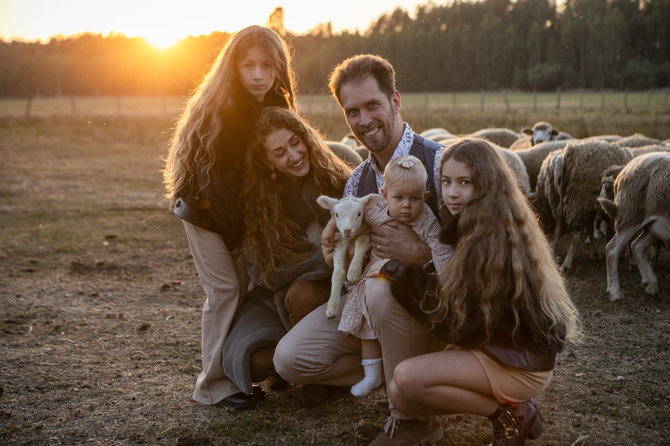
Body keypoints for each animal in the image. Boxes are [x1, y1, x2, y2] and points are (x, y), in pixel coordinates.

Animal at [600, 153, 670, 304]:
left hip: (654, 224)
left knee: (637, 246)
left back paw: (651, 286)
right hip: (630, 215)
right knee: (612, 249)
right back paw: (615, 292)